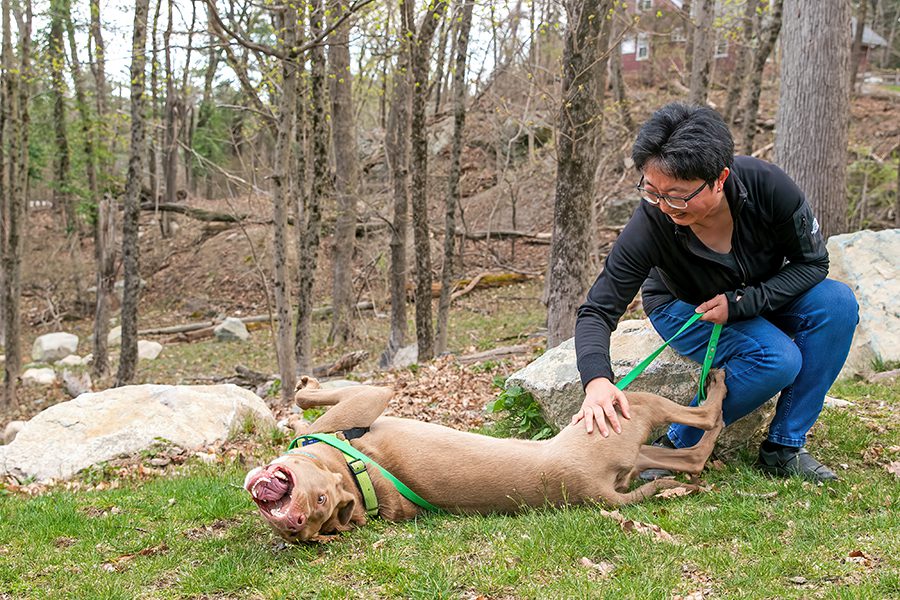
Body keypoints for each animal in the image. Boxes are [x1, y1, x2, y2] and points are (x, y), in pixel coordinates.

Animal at [244, 370, 724, 544]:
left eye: (320, 502)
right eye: (301, 534)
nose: (295, 521)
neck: (352, 472)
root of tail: (596, 492)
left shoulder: (368, 398)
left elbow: (306, 401)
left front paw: (303, 389)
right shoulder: (369, 398)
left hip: (634, 443)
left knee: (693, 450)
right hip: (629, 410)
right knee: (704, 421)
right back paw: (717, 383)